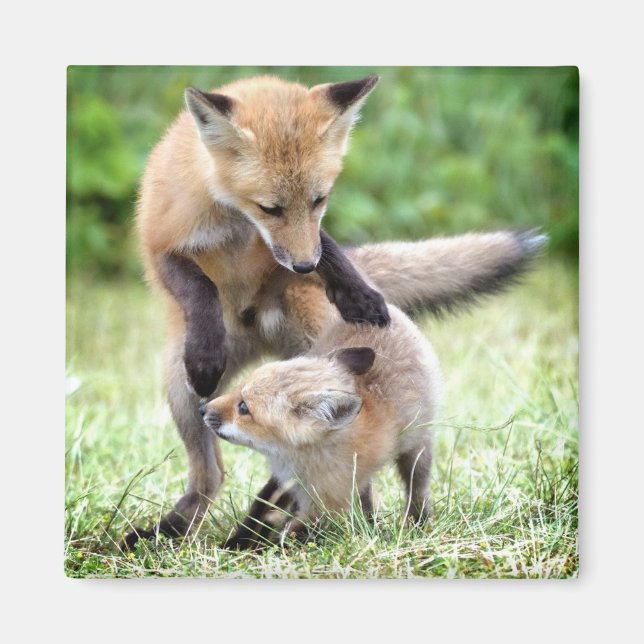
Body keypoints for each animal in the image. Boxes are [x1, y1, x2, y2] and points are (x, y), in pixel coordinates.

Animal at [201, 303, 441, 549]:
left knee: (416, 486)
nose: (203, 409)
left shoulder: (325, 503)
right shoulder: (284, 480)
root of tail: (392, 311)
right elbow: (259, 508)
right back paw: (372, 524)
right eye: (237, 388)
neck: (300, 459)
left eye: (243, 407)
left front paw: (260, 549)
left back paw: (417, 520)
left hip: (417, 450)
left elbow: (290, 537)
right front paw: (237, 542)